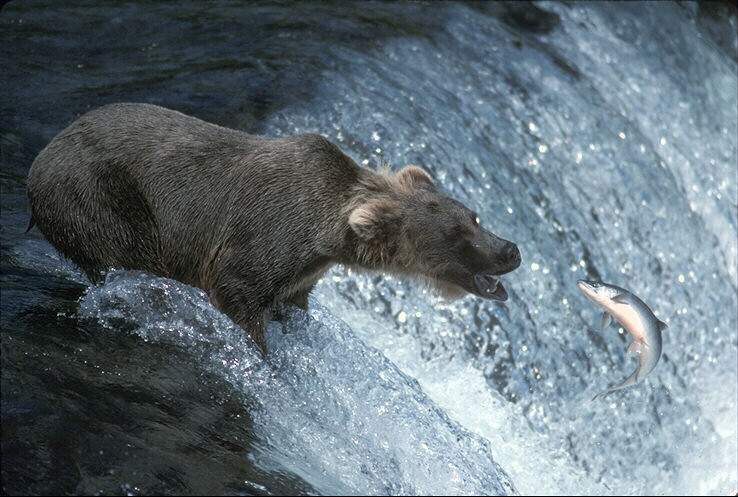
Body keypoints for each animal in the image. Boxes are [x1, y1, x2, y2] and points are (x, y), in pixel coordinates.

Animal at [25, 102, 520, 350]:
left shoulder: (302, 270)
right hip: (99, 198)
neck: (326, 236)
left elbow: (293, 301)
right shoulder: (262, 240)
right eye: (457, 237)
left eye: (474, 217)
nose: (510, 250)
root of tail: (43, 154)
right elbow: (237, 291)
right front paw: (261, 353)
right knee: (125, 256)